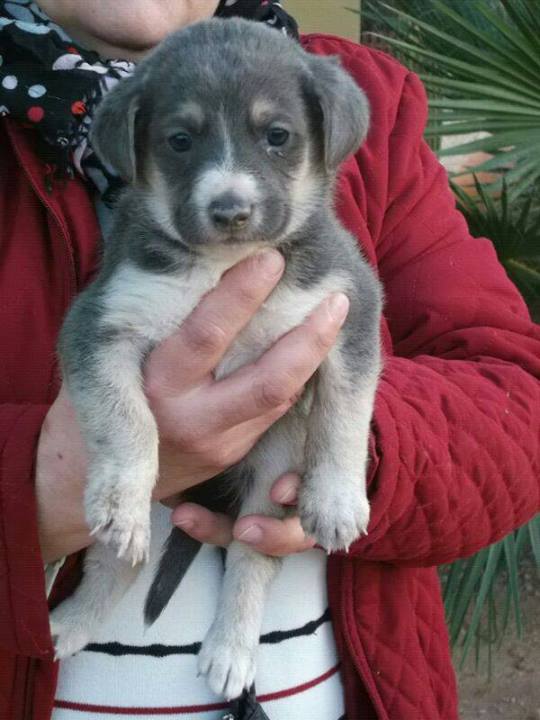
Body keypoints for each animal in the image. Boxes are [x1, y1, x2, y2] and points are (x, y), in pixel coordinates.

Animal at [48, 19, 382, 700]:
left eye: (277, 135)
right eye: (179, 141)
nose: (230, 211)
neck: (226, 266)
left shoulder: (350, 304)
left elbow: (343, 415)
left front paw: (338, 500)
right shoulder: (101, 322)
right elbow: (127, 420)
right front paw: (120, 495)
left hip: (269, 488)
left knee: (250, 563)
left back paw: (231, 650)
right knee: (117, 563)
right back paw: (74, 618)